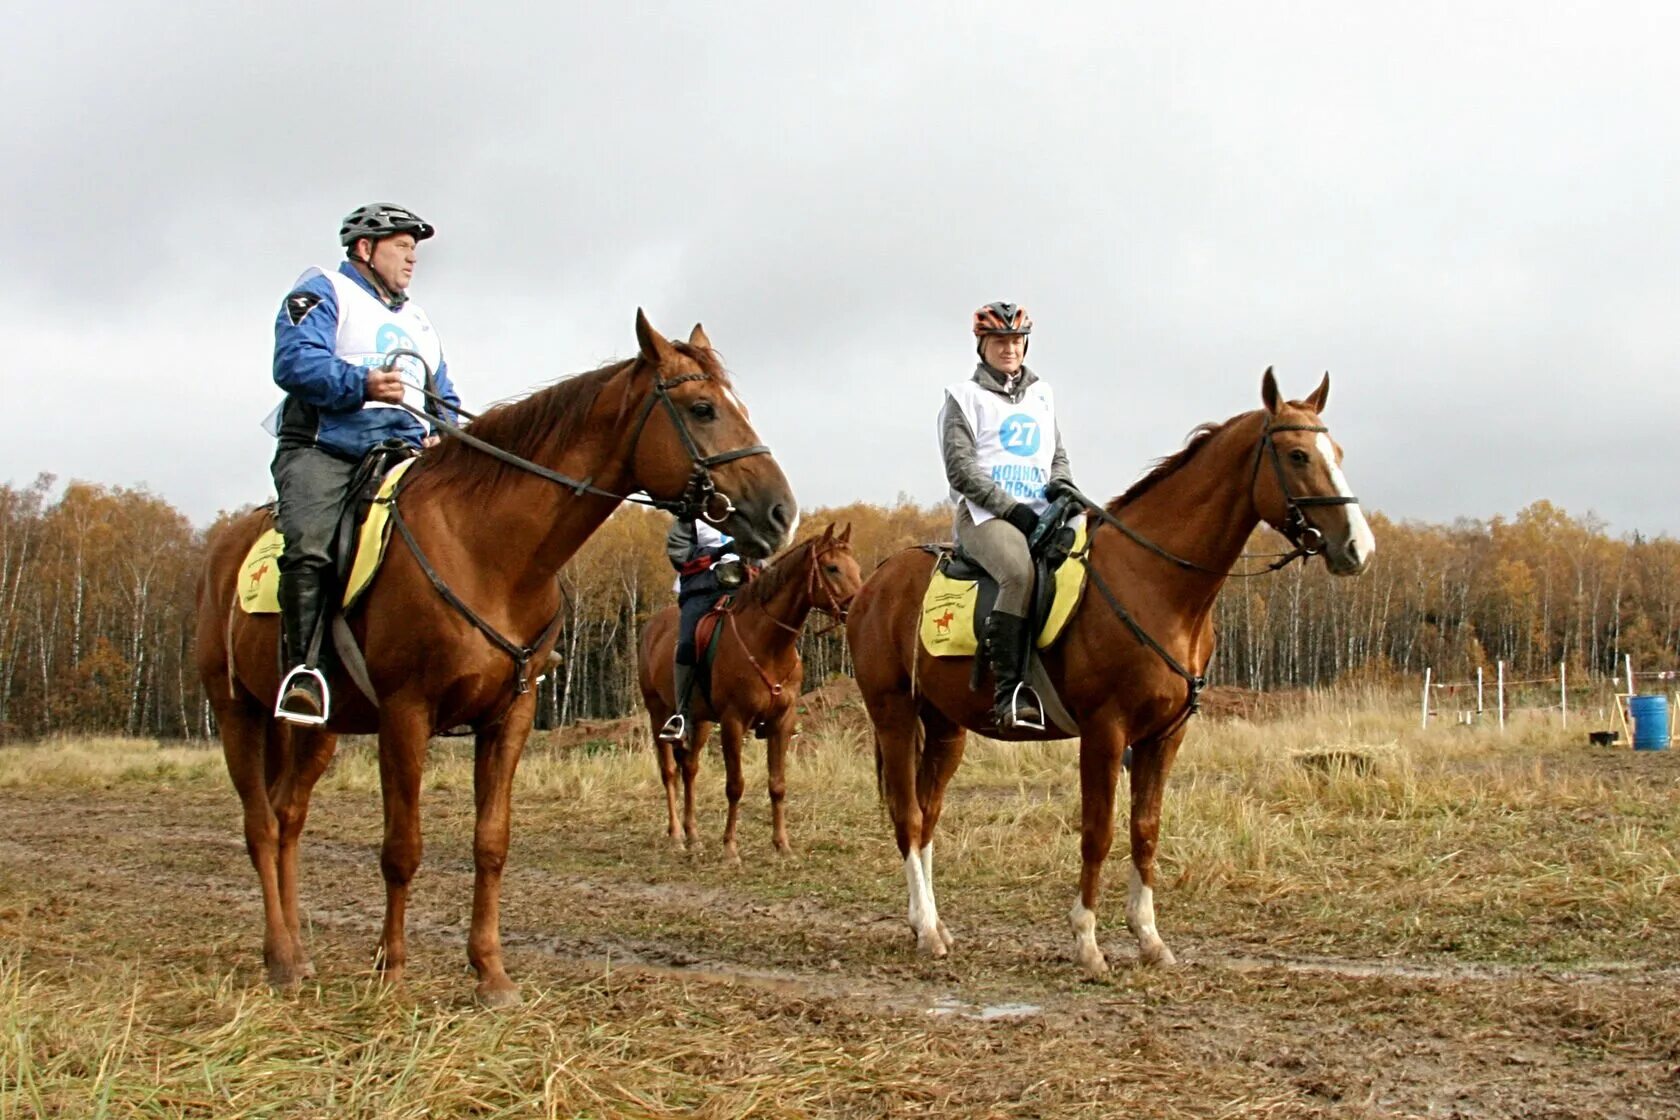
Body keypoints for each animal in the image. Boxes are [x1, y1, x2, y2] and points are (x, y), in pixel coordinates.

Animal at [193, 314, 796, 1007]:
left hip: (316, 729)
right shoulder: (406, 714)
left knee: (289, 818)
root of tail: (222, 550)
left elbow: (491, 843)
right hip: (236, 713)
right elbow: (402, 847)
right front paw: (392, 968)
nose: (781, 512)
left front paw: (490, 972)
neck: (487, 551)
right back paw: (282, 958)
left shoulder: (510, 717)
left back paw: (298, 949)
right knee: (262, 826)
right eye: (702, 409)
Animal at [635, 523, 860, 859]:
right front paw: (730, 848)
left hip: (700, 720)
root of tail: (652, 626)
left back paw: (693, 835)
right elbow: (735, 785)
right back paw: (675, 834)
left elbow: (777, 784)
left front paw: (782, 844)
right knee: (670, 772)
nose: (857, 607)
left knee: (690, 769)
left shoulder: (782, 722)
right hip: (658, 712)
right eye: (832, 568)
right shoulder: (733, 722)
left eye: (855, 567)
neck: (769, 645)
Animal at [846, 372, 1370, 973]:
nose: (1357, 547)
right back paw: (928, 930)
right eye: (1298, 454)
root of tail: (875, 582)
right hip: (893, 714)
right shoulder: (1105, 733)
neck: (1154, 582)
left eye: (1339, 453)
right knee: (908, 815)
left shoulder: (1165, 736)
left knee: (928, 814)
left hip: (946, 726)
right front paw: (1087, 942)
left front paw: (1149, 938)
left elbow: (1146, 830)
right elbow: (1098, 832)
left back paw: (928, 923)